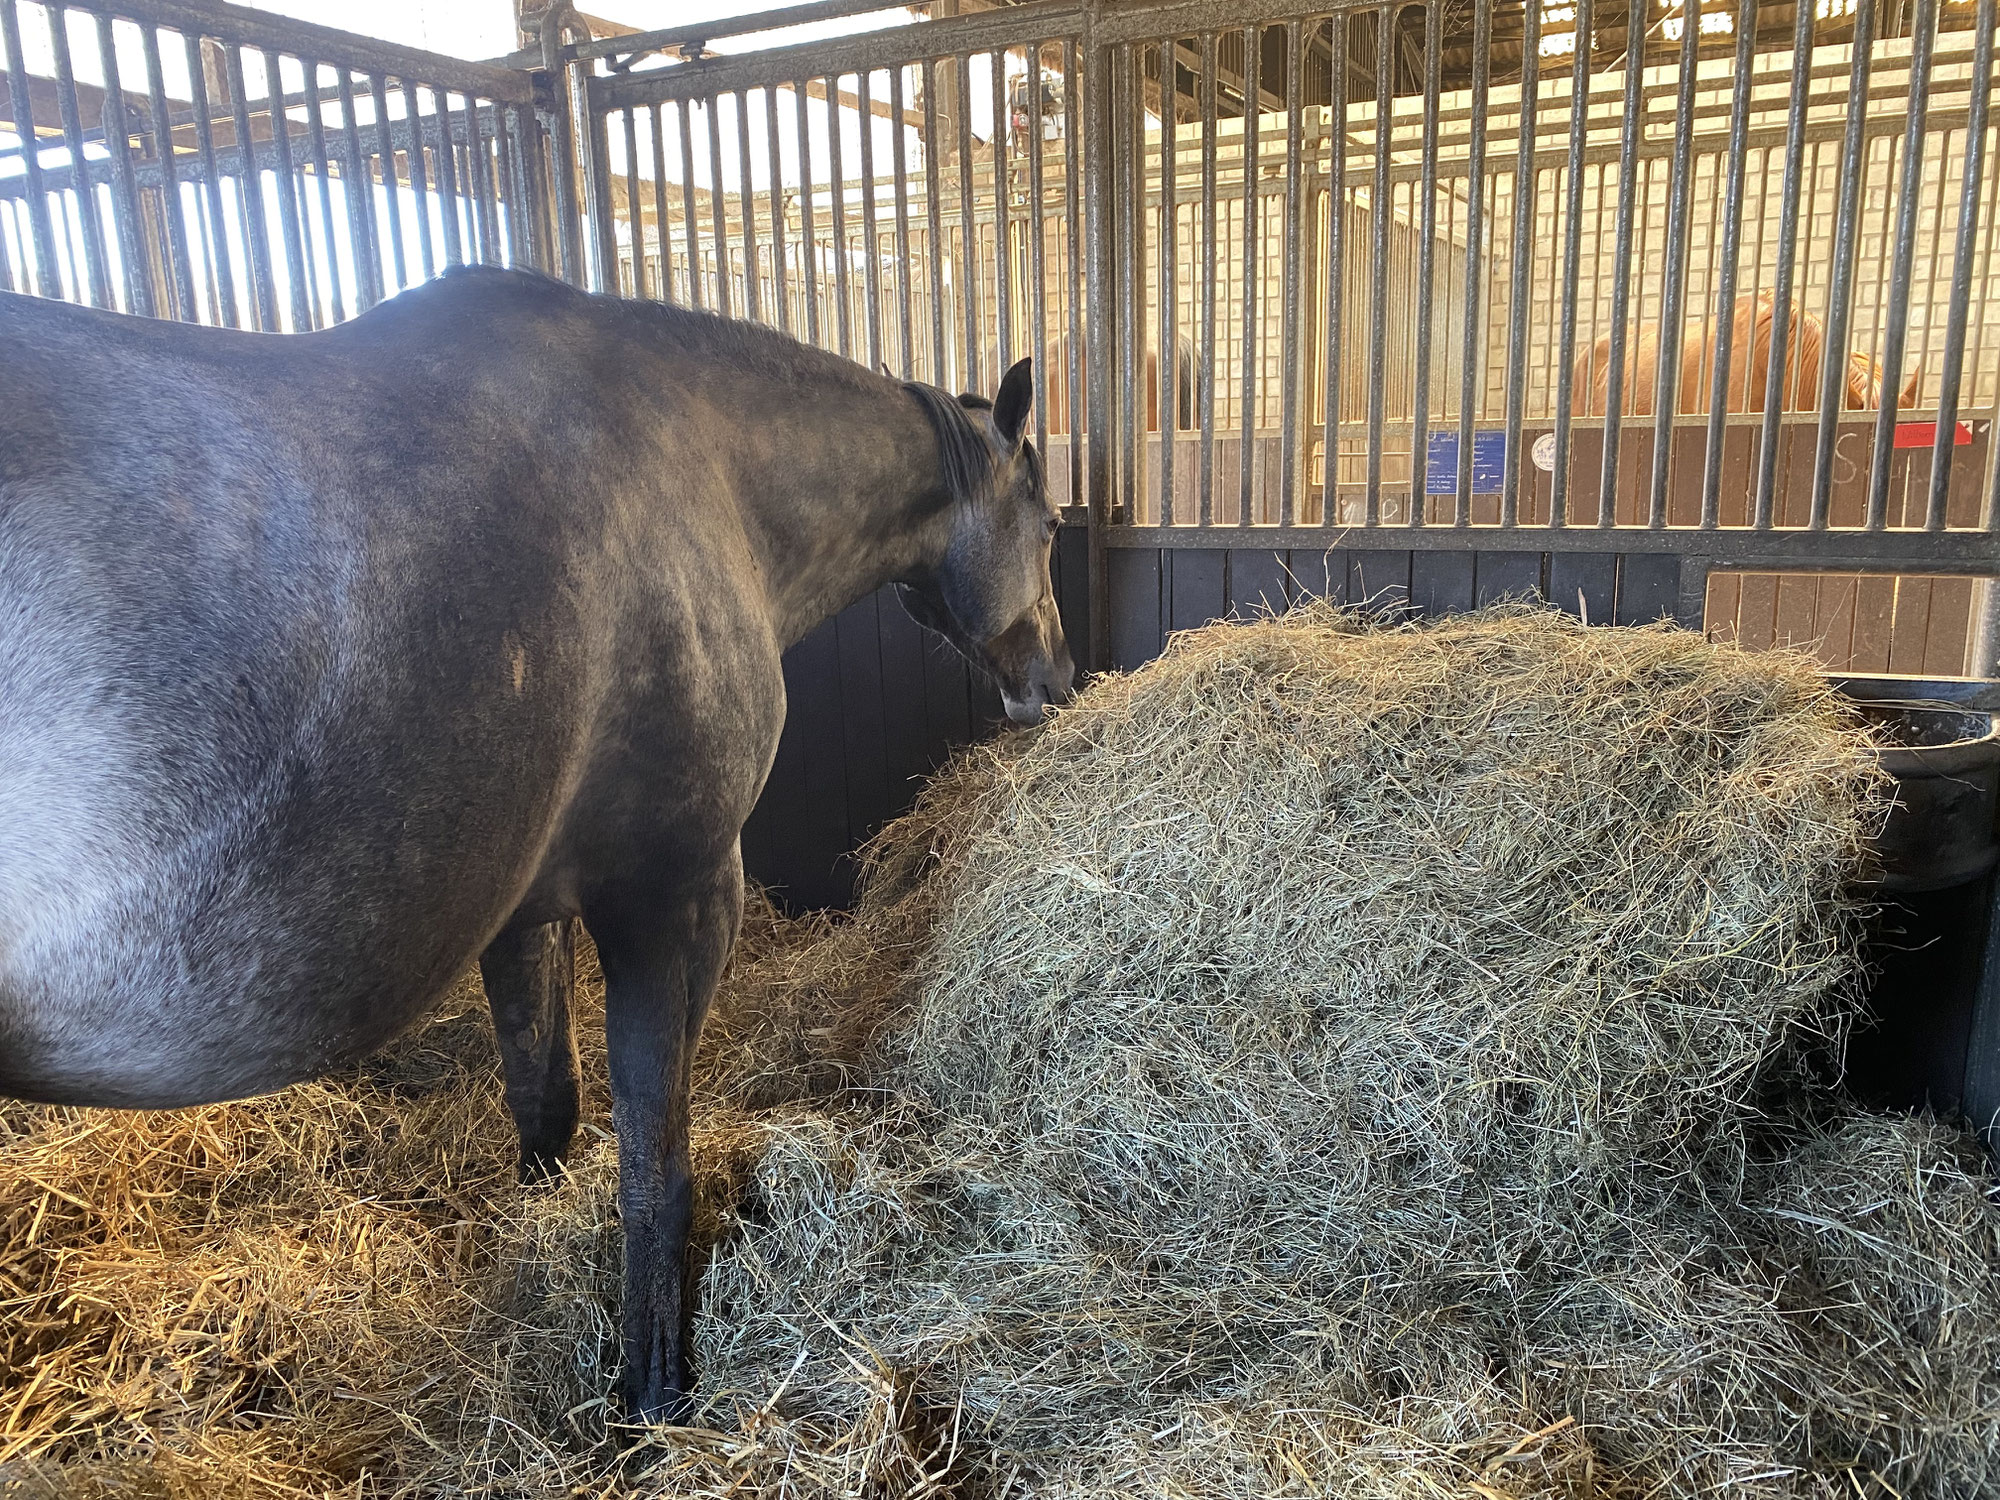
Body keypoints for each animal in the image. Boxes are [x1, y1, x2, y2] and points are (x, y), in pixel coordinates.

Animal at [0, 264, 1080, 1424]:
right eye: (1050, 528)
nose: (1056, 681)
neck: (707, 468)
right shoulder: (670, 897)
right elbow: (653, 1161)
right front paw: (654, 1387)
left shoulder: (526, 912)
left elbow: (544, 1102)